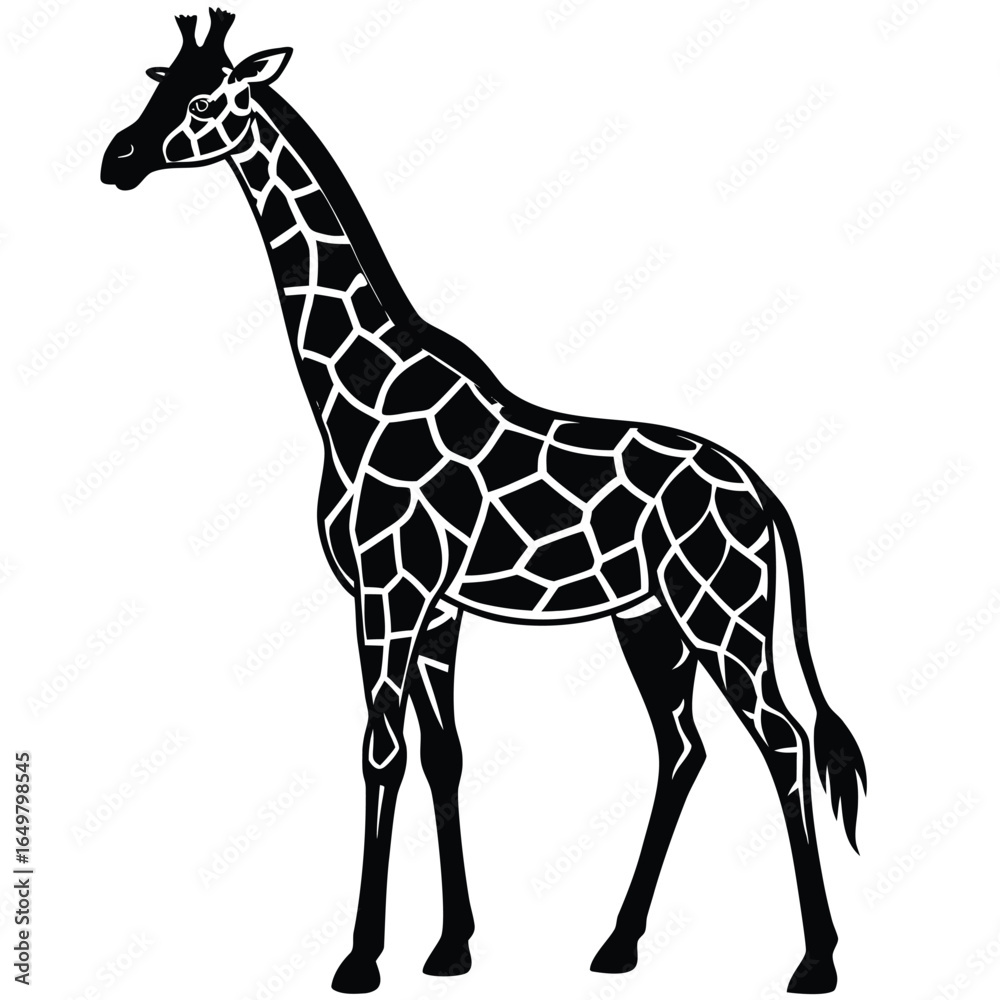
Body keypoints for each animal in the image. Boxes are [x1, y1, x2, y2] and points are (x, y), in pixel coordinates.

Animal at [100, 10, 867, 994]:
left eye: (205, 103)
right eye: (158, 87)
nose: (117, 158)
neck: (353, 393)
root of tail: (764, 495)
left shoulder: (388, 593)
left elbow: (380, 751)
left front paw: (359, 958)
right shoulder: (433, 607)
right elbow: (444, 754)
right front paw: (452, 946)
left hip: (721, 613)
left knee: (783, 742)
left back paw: (814, 960)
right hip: (650, 620)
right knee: (683, 748)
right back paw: (618, 945)